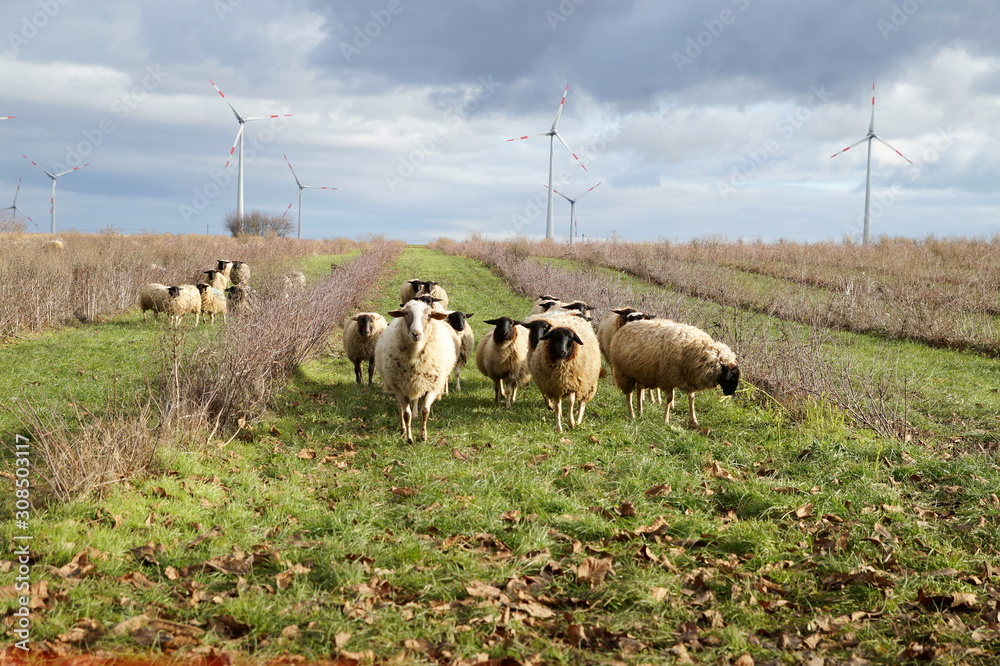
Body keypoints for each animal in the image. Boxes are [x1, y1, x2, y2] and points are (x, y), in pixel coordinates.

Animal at [374, 299, 456, 443]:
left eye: (429, 315)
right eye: (406, 314)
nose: (416, 334)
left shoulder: (432, 386)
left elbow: (425, 410)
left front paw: (423, 436)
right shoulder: (399, 387)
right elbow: (406, 414)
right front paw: (409, 438)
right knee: (401, 408)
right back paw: (403, 429)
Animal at [608, 320, 740, 427]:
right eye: (732, 377)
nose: (730, 393)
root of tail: (625, 326)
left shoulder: (688, 378)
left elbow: (691, 398)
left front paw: (694, 420)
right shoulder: (668, 379)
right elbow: (669, 399)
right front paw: (666, 420)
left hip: (641, 373)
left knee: (639, 391)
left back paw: (640, 412)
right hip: (624, 373)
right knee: (629, 395)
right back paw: (632, 415)